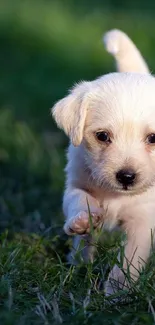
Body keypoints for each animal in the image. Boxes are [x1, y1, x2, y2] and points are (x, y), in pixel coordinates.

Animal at [52, 29, 155, 294]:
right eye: (102, 136)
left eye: (153, 138)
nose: (126, 177)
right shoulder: (76, 184)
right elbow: (80, 200)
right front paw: (82, 221)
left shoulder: (143, 221)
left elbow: (129, 260)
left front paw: (116, 293)